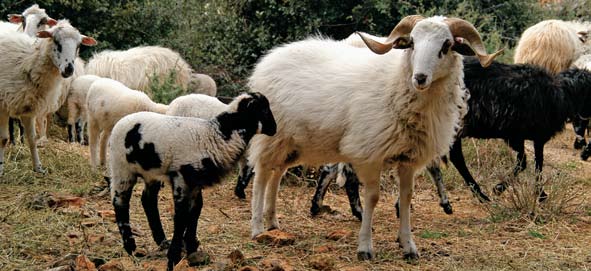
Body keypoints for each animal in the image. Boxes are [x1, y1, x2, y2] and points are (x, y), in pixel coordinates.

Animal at [0, 20, 96, 175]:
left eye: (78, 45)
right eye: (56, 41)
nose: (69, 69)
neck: (28, 62)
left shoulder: (29, 107)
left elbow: (32, 139)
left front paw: (38, 168)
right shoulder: (3, 105)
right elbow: (3, 139)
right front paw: (1, 168)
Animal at [109, 93, 278, 270]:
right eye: (263, 109)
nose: (275, 129)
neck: (215, 136)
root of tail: (123, 121)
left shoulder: (195, 183)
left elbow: (195, 210)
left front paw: (190, 247)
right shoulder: (181, 179)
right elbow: (181, 216)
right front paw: (174, 257)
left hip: (151, 173)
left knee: (148, 200)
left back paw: (161, 240)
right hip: (121, 167)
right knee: (120, 202)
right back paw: (130, 246)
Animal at [247, 15, 502, 262]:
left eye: (447, 45)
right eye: (412, 43)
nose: (420, 78)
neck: (396, 84)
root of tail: (271, 58)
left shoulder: (408, 159)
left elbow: (406, 198)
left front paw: (408, 247)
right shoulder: (369, 154)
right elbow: (372, 198)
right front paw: (365, 248)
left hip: (291, 144)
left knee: (277, 174)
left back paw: (273, 223)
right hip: (272, 137)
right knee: (262, 175)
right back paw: (258, 227)